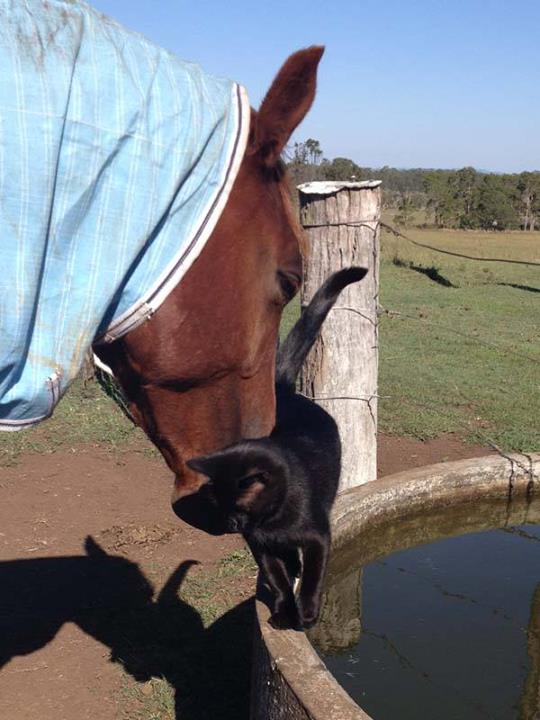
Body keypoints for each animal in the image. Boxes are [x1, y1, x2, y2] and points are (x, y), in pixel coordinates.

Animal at [188, 268, 370, 628]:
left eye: (239, 505)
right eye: (219, 503)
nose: (233, 525)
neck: (271, 522)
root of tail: (287, 392)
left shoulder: (318, 537)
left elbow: (313, 577)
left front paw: (308, 612)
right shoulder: (260, 546)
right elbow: (277, 578)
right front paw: (285, 610)